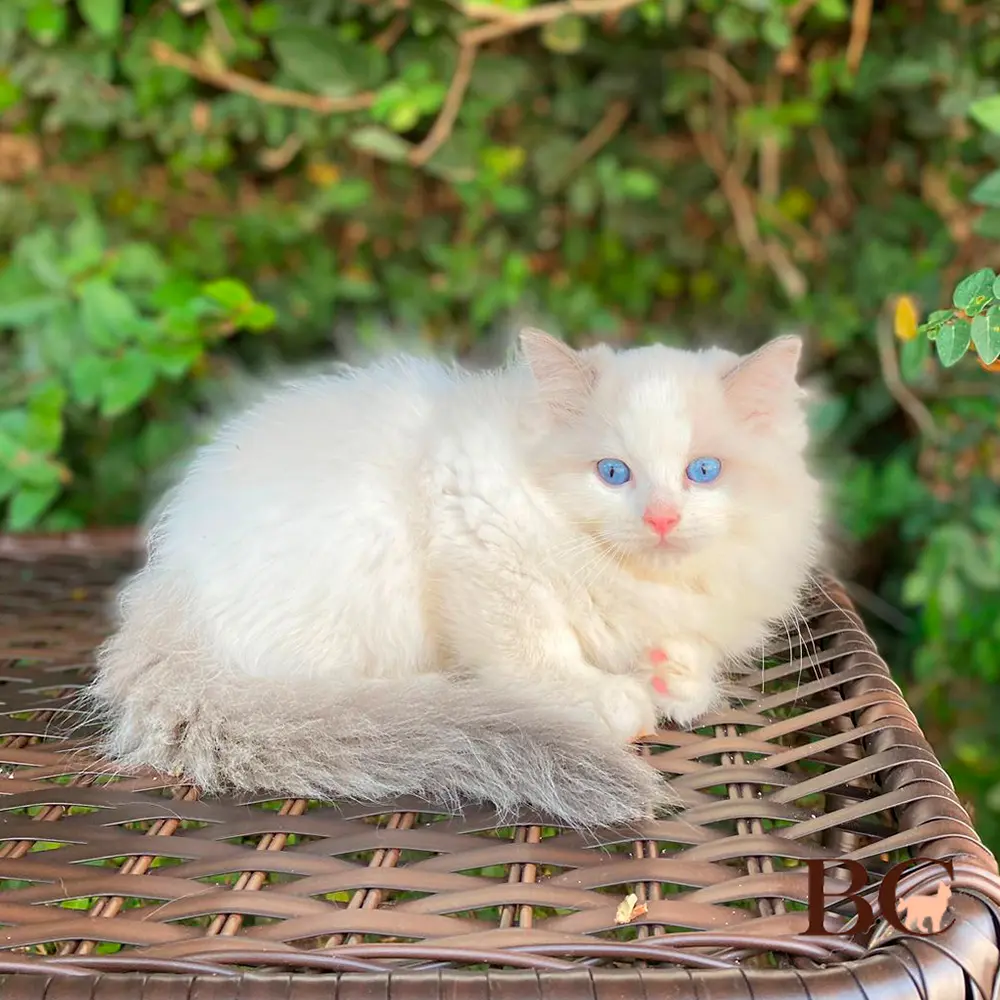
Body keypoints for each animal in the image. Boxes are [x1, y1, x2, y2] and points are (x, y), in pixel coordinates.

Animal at [84, 328, 820, 828]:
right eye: (614, 473)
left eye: (704, 472)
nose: (663, 518)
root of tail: (167, 597)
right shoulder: (478, 529)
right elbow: (535, 647)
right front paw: (614, 699)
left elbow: (690, 658)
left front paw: (676, 676)